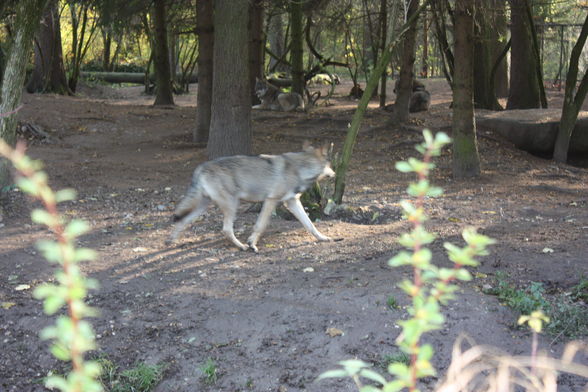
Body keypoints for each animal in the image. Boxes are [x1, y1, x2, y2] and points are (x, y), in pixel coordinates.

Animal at [170, 143, 336, 251]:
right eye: (330, 164)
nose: (335, 174)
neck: (300, 169)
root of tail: (201, 167)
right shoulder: (271, 200)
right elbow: (260, 226)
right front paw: (252, 244)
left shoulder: (292, 202)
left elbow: (310, 224)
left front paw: (322, 238)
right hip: (232, 204)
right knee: (226, 229)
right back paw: (242, 246)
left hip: (203, 206)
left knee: (182, 220)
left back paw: (169, 241)